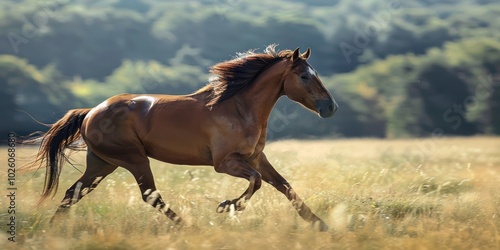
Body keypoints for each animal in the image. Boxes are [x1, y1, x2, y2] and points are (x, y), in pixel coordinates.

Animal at [28, 44, 340, 230]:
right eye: (304, 77)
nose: (331, 108)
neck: (238, 107)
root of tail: (91, 112)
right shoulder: (225, 163)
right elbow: (256, 182)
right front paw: (227, 206)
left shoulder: (256, 157)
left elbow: (285, 187)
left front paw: (320, 224)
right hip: (133, 160)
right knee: (150, 195)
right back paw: (187, 225)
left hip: (103, 163)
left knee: (73, 193)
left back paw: (50, 229)